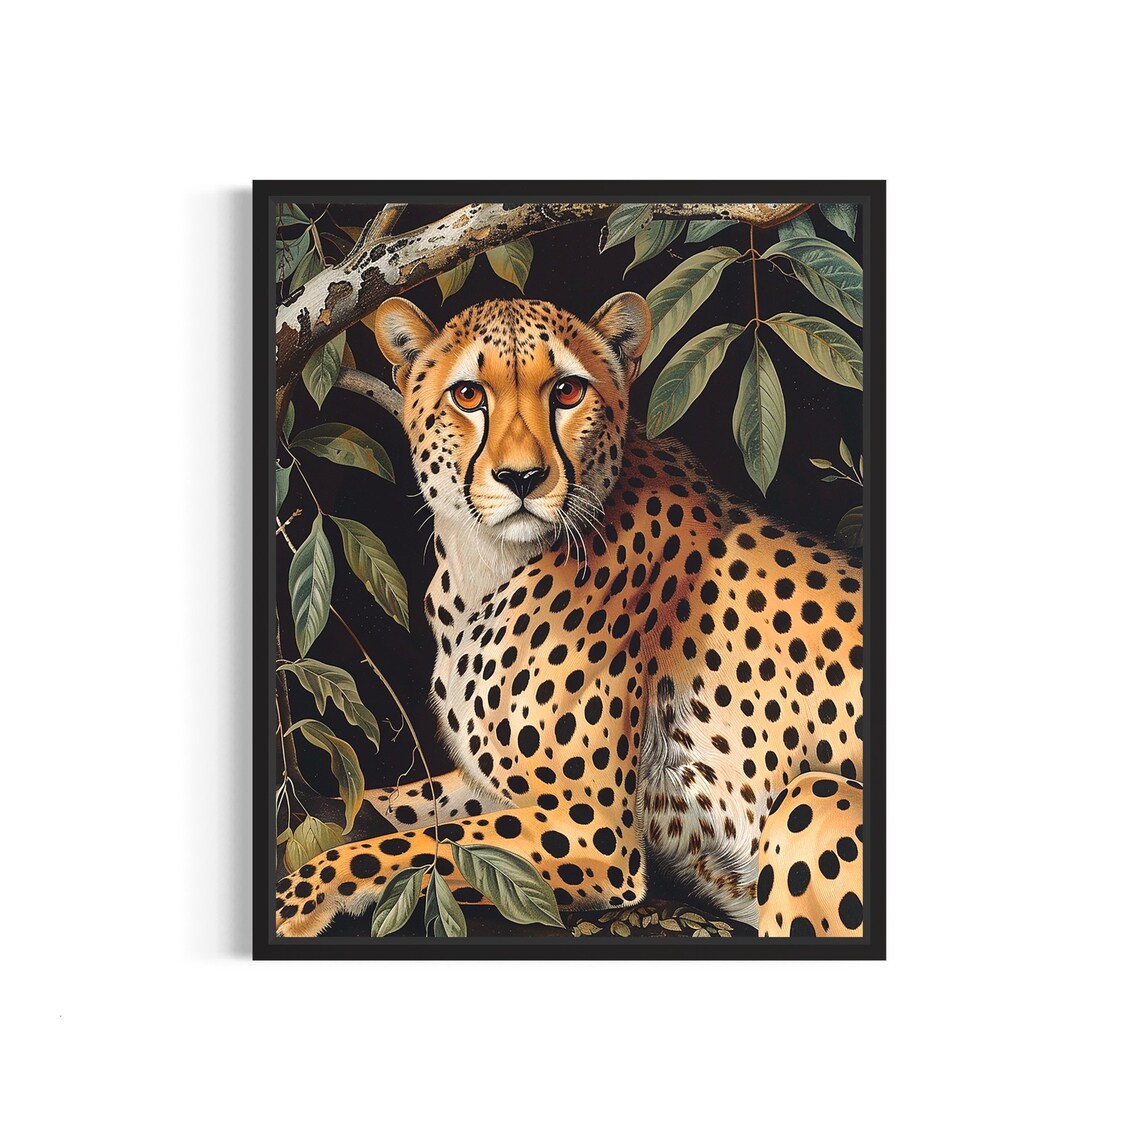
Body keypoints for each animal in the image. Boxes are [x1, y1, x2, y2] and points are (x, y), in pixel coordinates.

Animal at [275, 292, 865, 938]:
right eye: (468, 395)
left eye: (567, 391)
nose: (522, 478)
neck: (481, 565)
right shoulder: (499, 789)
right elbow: (392, 807)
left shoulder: (595, 830)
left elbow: (410, 846)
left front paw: (296, 900)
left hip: (812, 795)